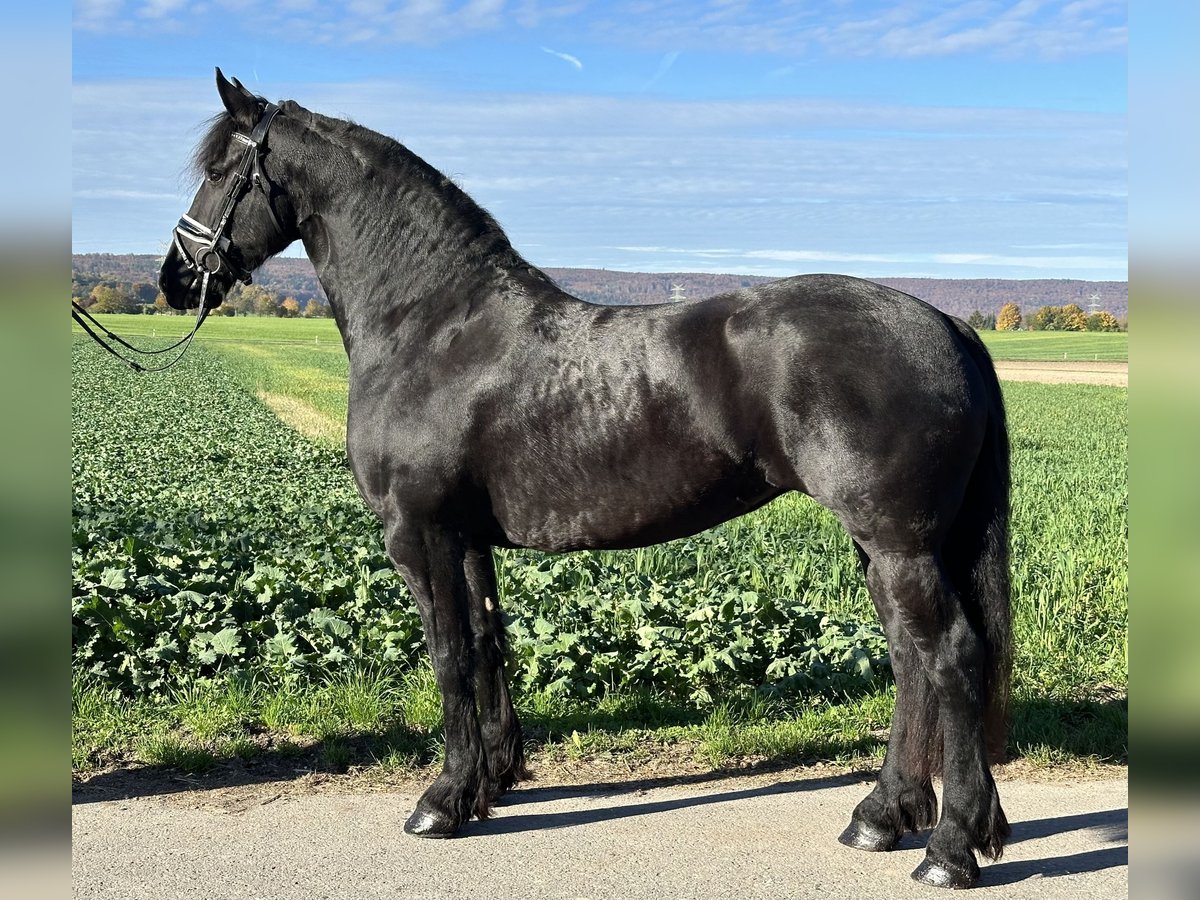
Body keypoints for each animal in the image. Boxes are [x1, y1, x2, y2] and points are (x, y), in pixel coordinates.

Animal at [159, 72, 1012, 897]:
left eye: (220, 170)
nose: (176, 277)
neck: (434, 329)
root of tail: (946, 324)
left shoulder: (419, 535)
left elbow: (448, 655)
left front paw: (442, 801)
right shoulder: (466, 539)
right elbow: (487, 643)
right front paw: (494, 780)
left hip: (898, 544)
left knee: (951, 658)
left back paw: (948, 849)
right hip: (886, 547)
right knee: (911, 661)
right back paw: (882, 815)